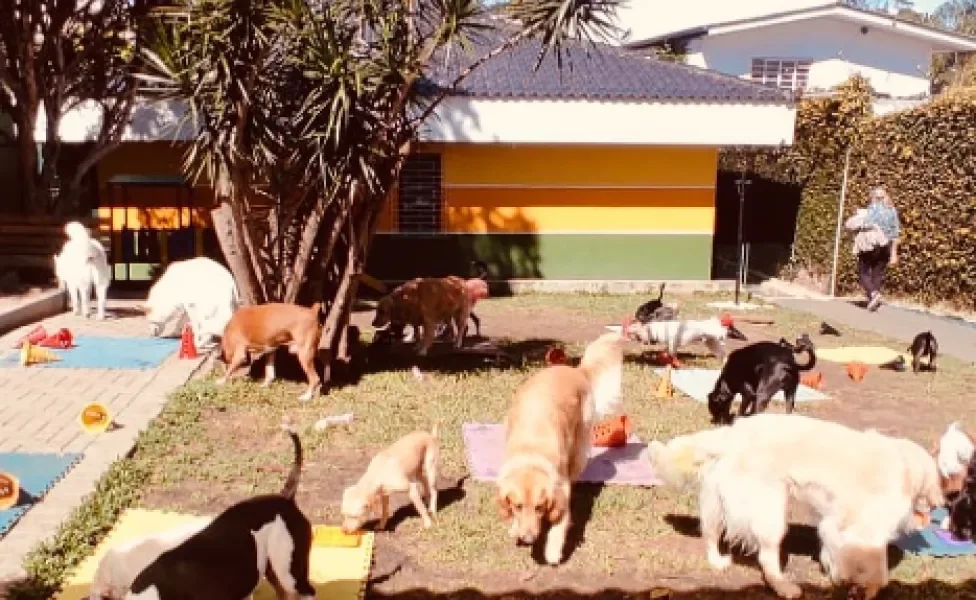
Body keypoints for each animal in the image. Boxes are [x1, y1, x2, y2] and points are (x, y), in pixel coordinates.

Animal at [496, 330, 624, 564]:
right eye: (518, 506)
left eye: (539, 507)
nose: (528, 539)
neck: (531, 454)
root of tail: (575, 370)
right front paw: (515, 527)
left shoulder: (561, 488)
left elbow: (559, 521)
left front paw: (553, 551)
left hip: (581, 445)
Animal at [652, 412, 940, 600]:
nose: (932, 512)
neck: (907, 468)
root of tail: (733, 432)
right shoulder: (866, 534)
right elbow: (880, 573)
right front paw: (861, 587)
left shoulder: (832, 525)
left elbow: (834, 553)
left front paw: (838, 577)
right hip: (770, 512)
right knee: (766, 559)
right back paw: (784, 588)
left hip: (718, 502)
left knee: (710, 534)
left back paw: (717, 562)